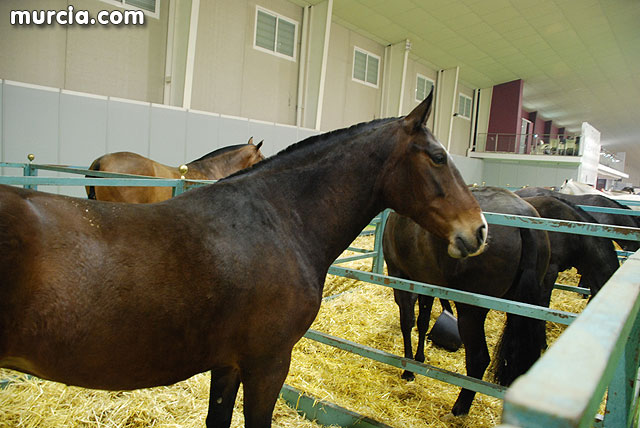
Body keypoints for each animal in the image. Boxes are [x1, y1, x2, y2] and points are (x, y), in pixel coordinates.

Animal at [382, 186, 548, 416]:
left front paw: (408, 370)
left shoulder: (401, 277)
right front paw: (418, 359)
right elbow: (423, 322)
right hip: (519, 309)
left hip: (471, 311)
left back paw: (460, 407)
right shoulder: (426, 283)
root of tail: (524, 219)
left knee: (479, 358)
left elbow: (407, 322)